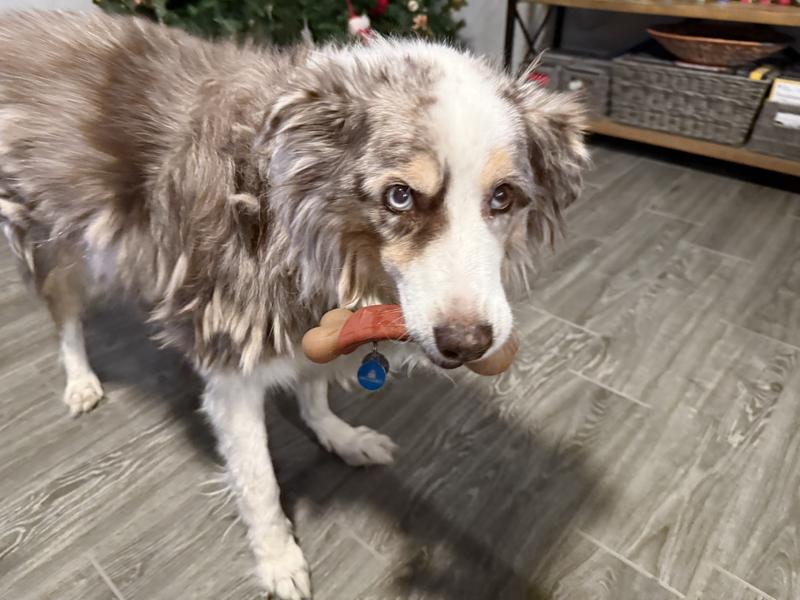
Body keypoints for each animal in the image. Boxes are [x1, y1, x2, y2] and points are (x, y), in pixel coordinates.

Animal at [0, 11, 588, 599]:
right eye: (399, 196)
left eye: (503, 197)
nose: (467, 345)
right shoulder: (235, 364)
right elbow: (259, 482)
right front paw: (277, 558)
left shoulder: (312, 321)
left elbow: (313, 387)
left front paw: (338, 436)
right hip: (57, 239)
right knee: (66, 320)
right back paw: (80, 379)